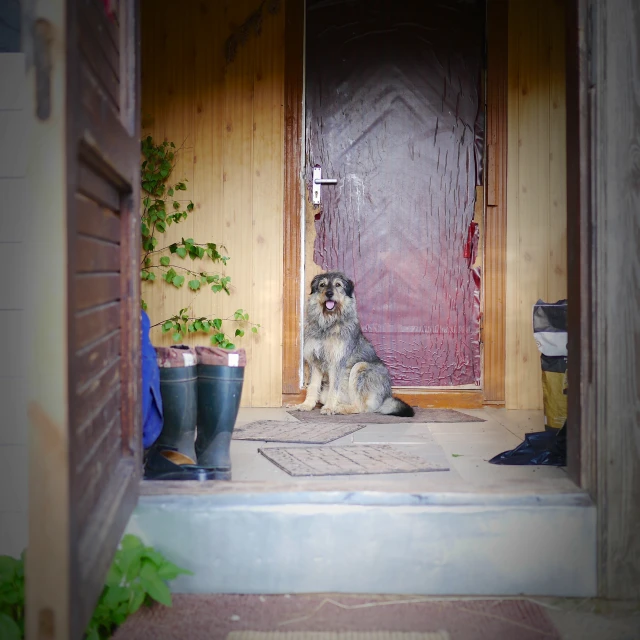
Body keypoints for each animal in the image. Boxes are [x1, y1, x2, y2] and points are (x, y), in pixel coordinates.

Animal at [292, 268, 416, 416]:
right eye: (322, 285)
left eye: (338, 285)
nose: (329, 293)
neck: (328, 324)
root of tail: (386, 397)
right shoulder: (315, 363)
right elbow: (312, 387)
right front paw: (306, 405)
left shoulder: (337, 363)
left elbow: (334, 388)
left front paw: (329, 408)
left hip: (360, 367)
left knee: (361, 407)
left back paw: (340, 408)